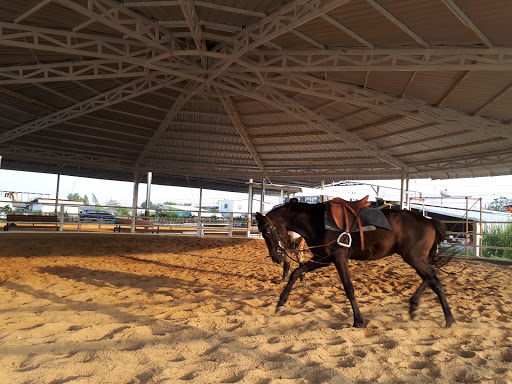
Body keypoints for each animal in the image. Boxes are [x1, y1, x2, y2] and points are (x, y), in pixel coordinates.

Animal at [256, 198, 456, 328]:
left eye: (267, 231)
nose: (276, 257)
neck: (316, 222)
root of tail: (429, 221)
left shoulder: (339, 258)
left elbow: (348, 288)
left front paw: (358, 320)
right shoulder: (323, 259)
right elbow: (296, 273)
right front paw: (280, 303)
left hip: (414, 257)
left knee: (433, 276)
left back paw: (423, 308)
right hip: (415, 258)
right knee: (434, 280)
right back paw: (442, 316)